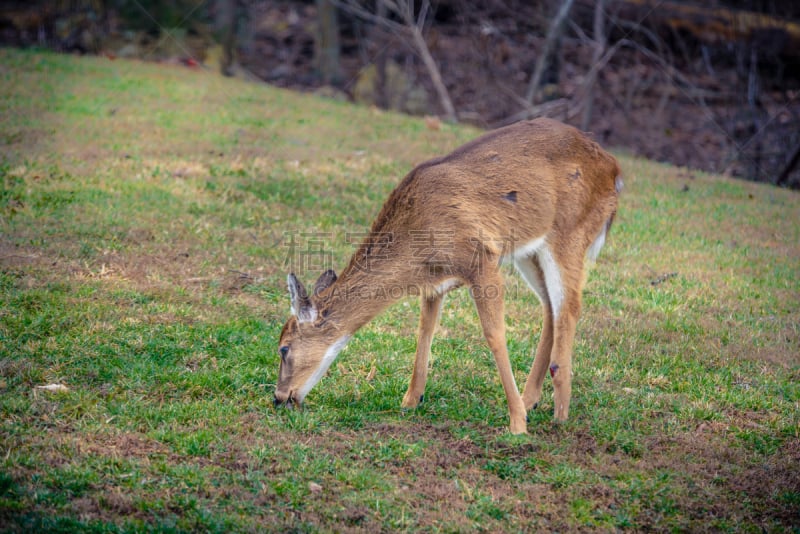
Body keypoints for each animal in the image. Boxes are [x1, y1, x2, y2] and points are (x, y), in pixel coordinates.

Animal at [272, 118, 620, 436]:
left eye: (283, 348)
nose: (279, 397)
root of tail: (615, 170)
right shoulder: (434, 283)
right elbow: (425, 331)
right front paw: (410, 400)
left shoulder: (482, 258)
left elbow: (494, 335)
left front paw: (517, 424)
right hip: (529, 251)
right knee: (550, 307)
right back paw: (531, 399)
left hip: (570, 234)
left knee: (569, 307)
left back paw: (558, 413)